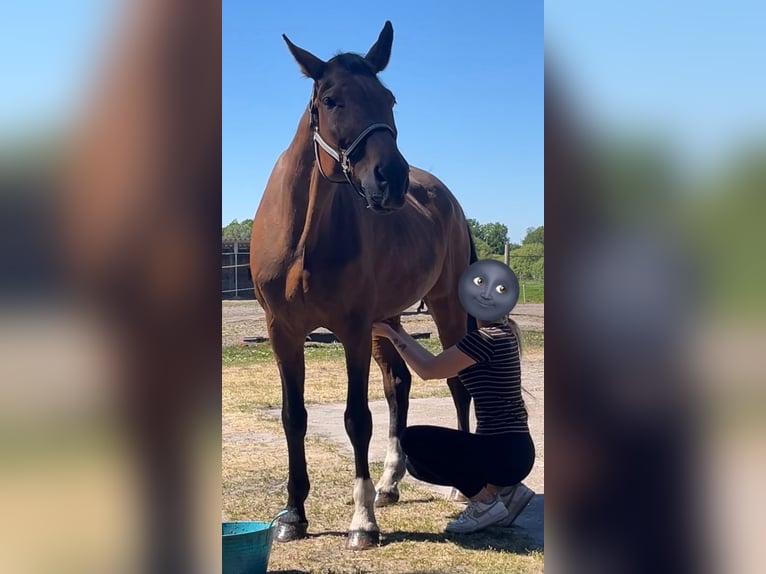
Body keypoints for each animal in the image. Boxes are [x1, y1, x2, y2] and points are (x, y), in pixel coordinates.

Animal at [250, 21, 476, 550]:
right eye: (331, 99)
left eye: (389, 98)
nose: (390, 179)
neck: (303, 239)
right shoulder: (282, 332)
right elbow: (294, 417)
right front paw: (294, 515)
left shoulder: (351, 329)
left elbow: (356, 418)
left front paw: (362, 522)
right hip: (387, 321)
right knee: (398, 385)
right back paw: (390, 484)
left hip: (444, 307)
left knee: (457, 384)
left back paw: (457, 486)